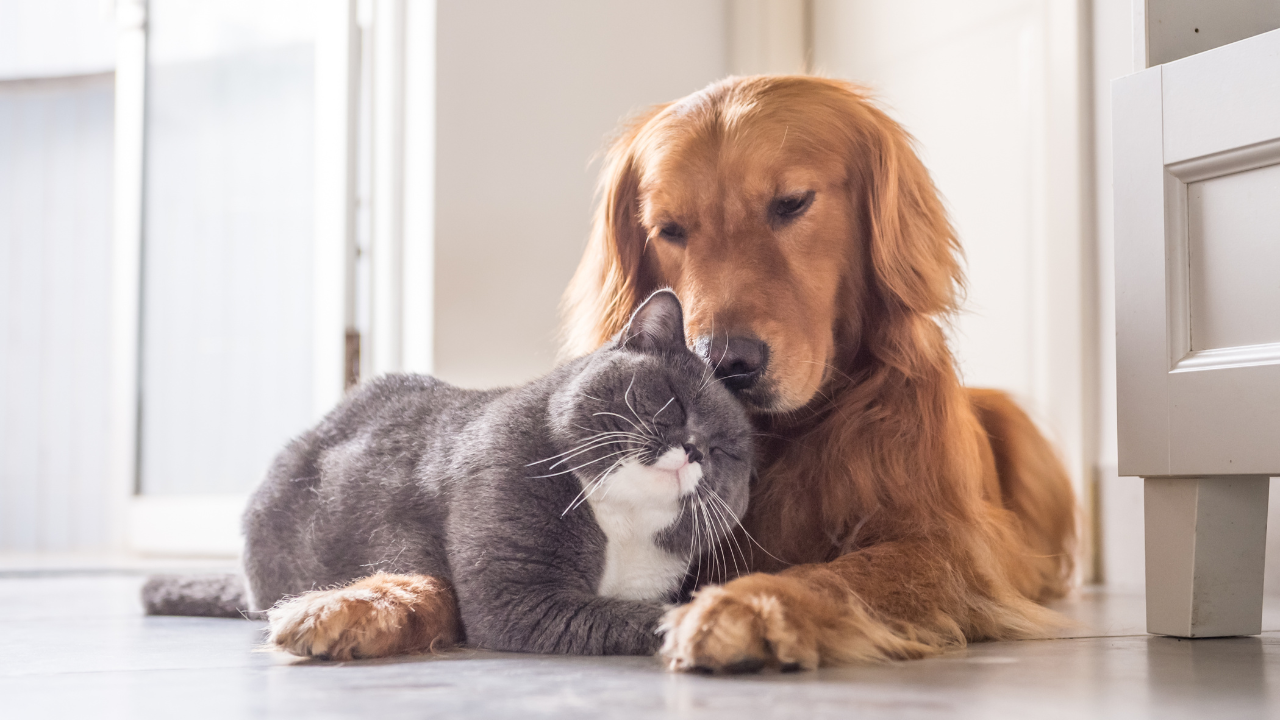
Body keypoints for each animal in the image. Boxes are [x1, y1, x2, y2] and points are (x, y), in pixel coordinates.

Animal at [147, 286, 747, 655]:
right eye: (672, 401)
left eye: (729, 452)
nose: (694, 449)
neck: (619, 523)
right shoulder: (519, 597)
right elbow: (633, 616)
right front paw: (705, 624)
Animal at [565, 75, 1075, 671]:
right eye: (669, 229)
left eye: (791, 203)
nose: (724, 362)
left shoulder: (948, 547)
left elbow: (843, 574)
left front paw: (749, 605)